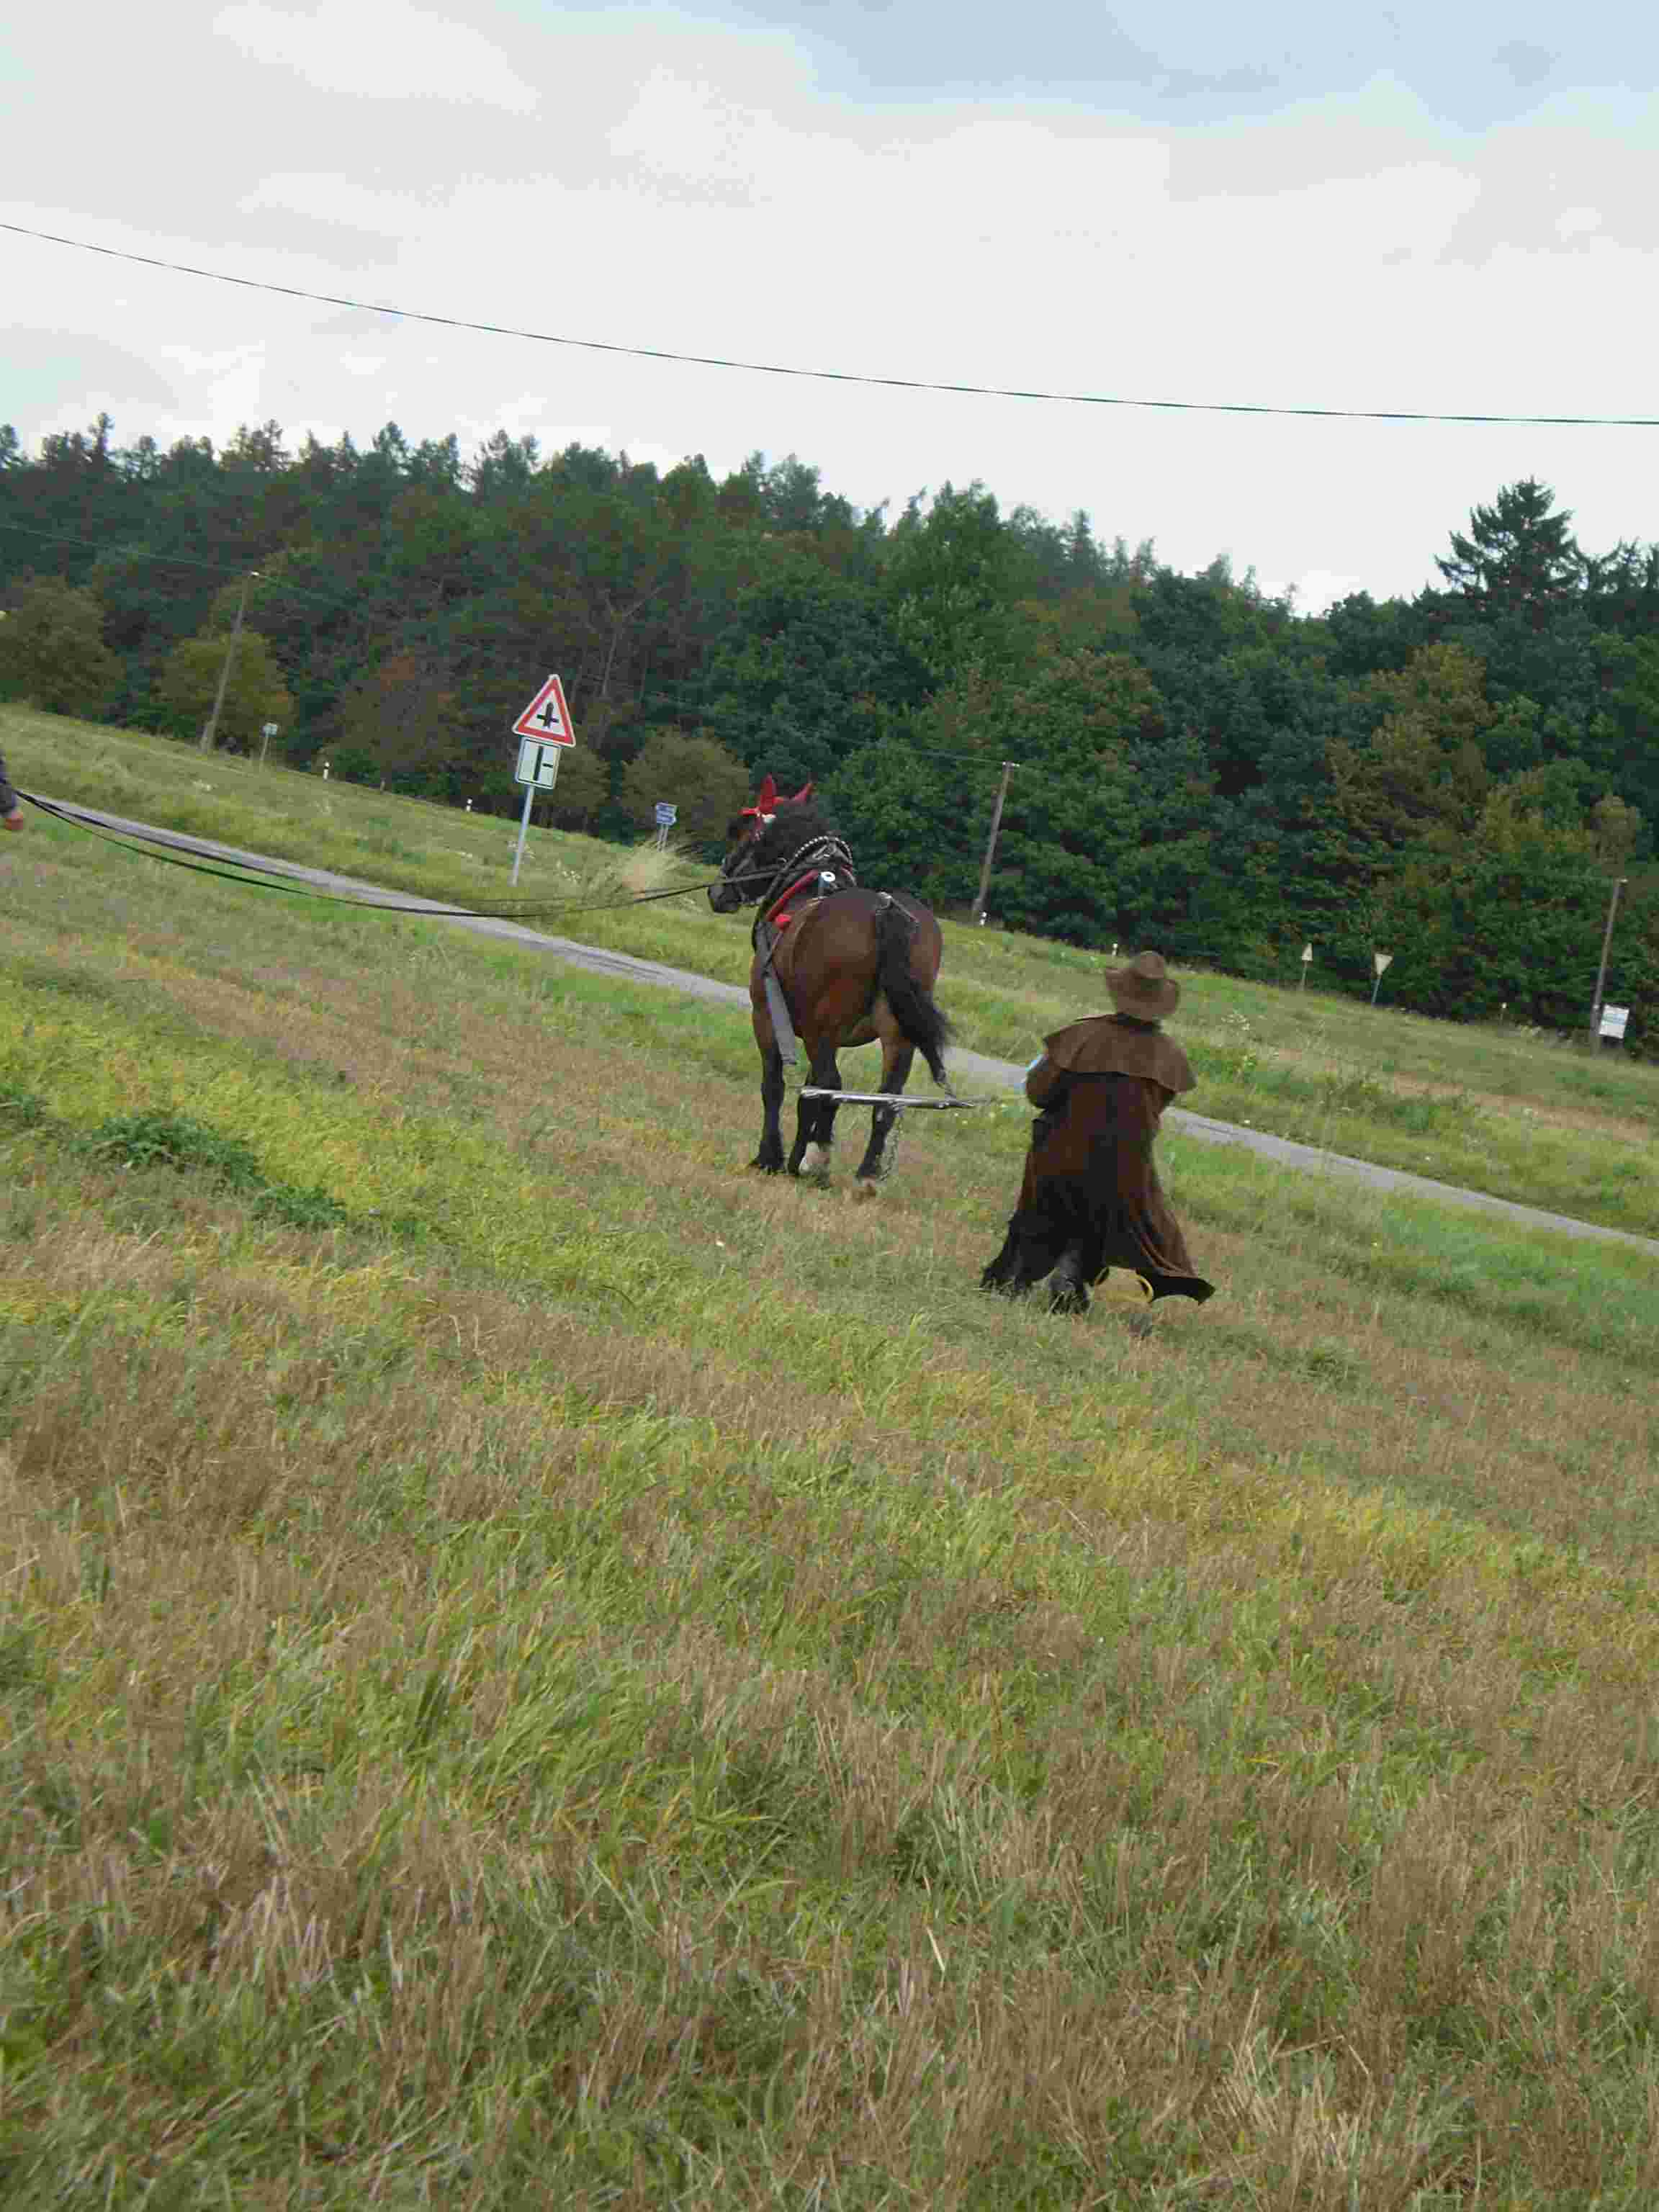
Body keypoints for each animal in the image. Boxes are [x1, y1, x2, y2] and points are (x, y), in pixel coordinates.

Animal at [708, 783, 956, 1194]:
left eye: (743, 836)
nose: (717, 891)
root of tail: (885, 912)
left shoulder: (768, 1018)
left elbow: (776, 1087)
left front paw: (771, 1157)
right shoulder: (827, 1036)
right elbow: (807, 1097)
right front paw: (792, 1159)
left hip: (820, 1029)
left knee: (832, 1085)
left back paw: (818, 1162)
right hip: (893, 1035)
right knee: (885, 1099)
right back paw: (866, 1174)